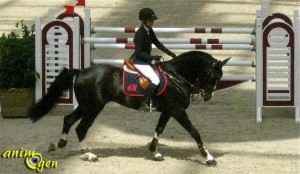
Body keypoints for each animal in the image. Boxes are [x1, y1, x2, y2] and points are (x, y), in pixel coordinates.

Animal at [28, 50, 230, 166]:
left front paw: (155, 151)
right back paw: (90, 155)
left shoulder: (168, 111)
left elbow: (159, 129)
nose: (207, 96)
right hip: (93, 107)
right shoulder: (178, 111)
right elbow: (195, 132)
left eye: (219, 77)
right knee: (81, 128)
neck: (176, 76)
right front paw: (209, 157)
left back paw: (60, 144)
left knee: (69, 120)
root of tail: (80, 71)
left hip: (86, 106)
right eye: (212, 75)